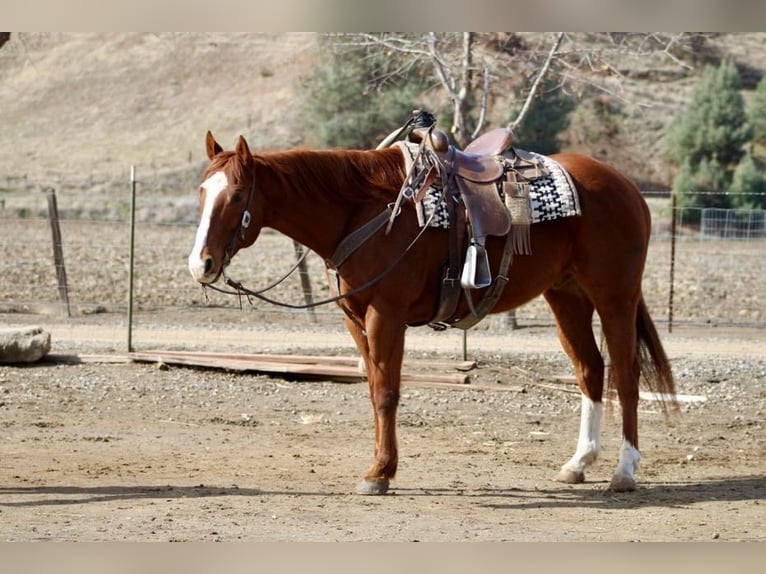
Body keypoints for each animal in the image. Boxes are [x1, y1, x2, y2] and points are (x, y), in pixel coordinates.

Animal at [188, 131, 677, 494]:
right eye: (202, 192)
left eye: (236, 196)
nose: (201, 264)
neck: (363, 211)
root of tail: (626, 186)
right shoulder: (355, 320)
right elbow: (373, 389)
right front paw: (381, 467)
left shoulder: (385, 315)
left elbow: (387, 393)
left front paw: (379, 474)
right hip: (566, 296)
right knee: (590, 370)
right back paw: (578, 463)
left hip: (614, 297)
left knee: (626, 374)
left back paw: (624, 471)